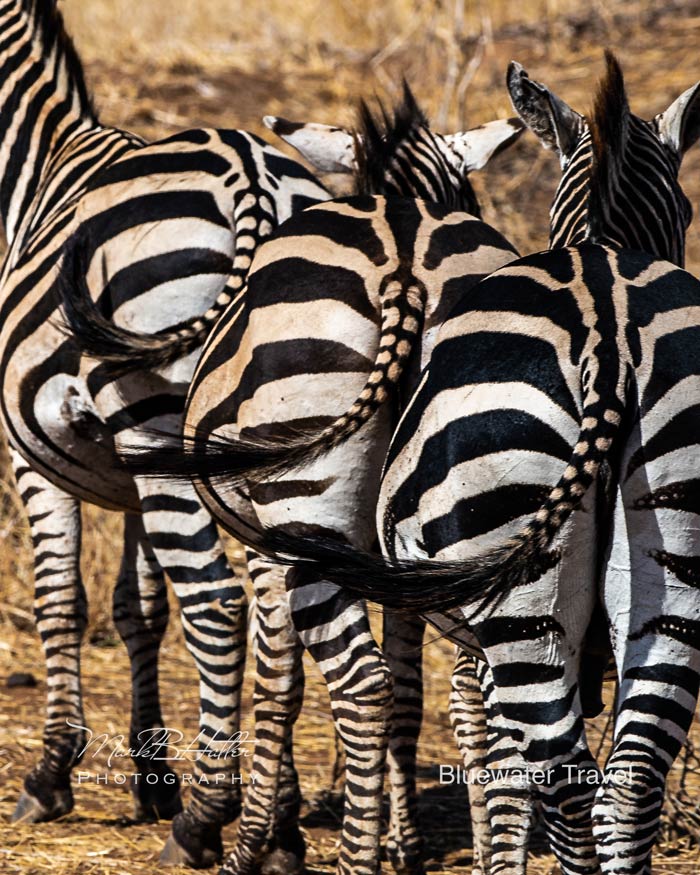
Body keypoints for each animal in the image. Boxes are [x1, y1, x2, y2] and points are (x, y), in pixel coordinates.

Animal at [0, 0, 341, 867]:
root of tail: (252, 173)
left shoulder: (33, 456)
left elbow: (62, 597)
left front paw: (53, 772)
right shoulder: (126, 479)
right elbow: (138, 607)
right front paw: (155, 776)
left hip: (156, 422)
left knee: (218, 605)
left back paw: (203, 822)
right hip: (267, 439)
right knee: (274, 614)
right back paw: (273, 828)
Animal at [60, 86, 527, 875]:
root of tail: (404, 260)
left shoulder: (268, 544)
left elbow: (279, 675)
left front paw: (260, 841)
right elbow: (411, 689)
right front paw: (404, 842)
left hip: (306, 512)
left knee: (360, 683)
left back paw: (348, 857)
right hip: (474, 505)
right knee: (482, 683)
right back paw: (491, 853)